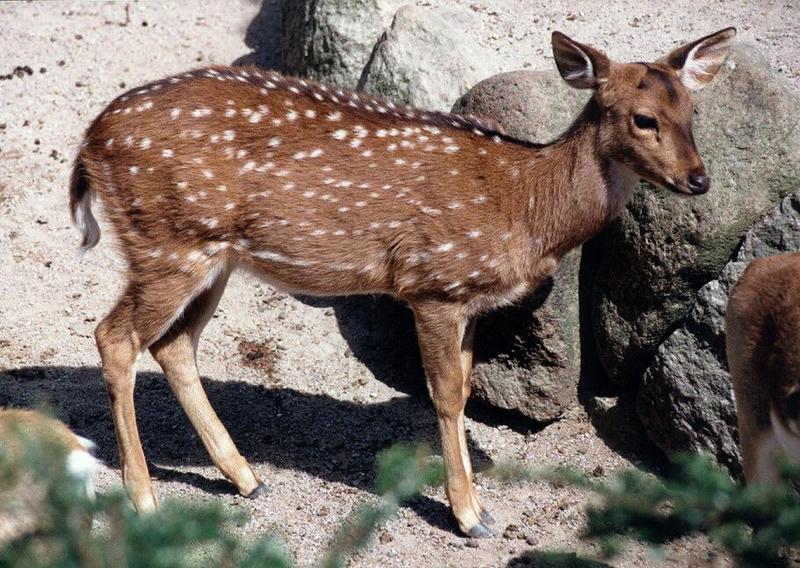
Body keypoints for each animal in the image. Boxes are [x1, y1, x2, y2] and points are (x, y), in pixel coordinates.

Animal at [72, 26, 736, 536]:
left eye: (692, 113)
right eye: (644, 119)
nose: (700, 179)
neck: (525, 205)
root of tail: (89, 143)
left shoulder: (470, 300)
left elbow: (463, 389)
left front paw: (472, 502)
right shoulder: (434, 284)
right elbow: (444, 394)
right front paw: (470, 516)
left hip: (213, 257)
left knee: (173, 344)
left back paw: (247, 479)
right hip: (168, 242)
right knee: (115, 337)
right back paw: (144, 497)